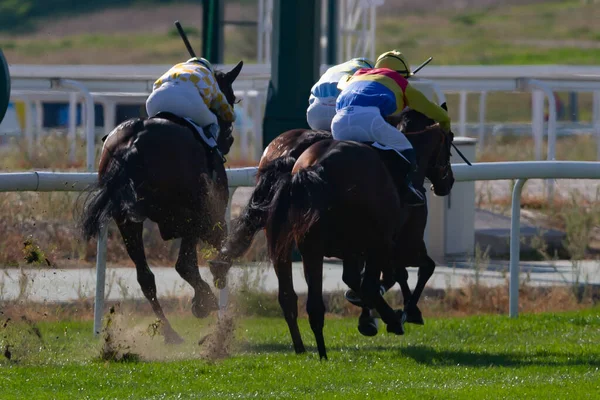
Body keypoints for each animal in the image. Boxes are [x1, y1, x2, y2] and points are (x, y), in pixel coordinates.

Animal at [79, 61, 244, 342]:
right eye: (231, 97)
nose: (229, 139)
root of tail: (133, 144)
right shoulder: (210, 217)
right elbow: (214, 252)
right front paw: (207, 299)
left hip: (127, 220)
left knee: (146, 277)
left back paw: (170, 332)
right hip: (190, 210)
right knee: (184, 265)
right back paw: (204, 305)